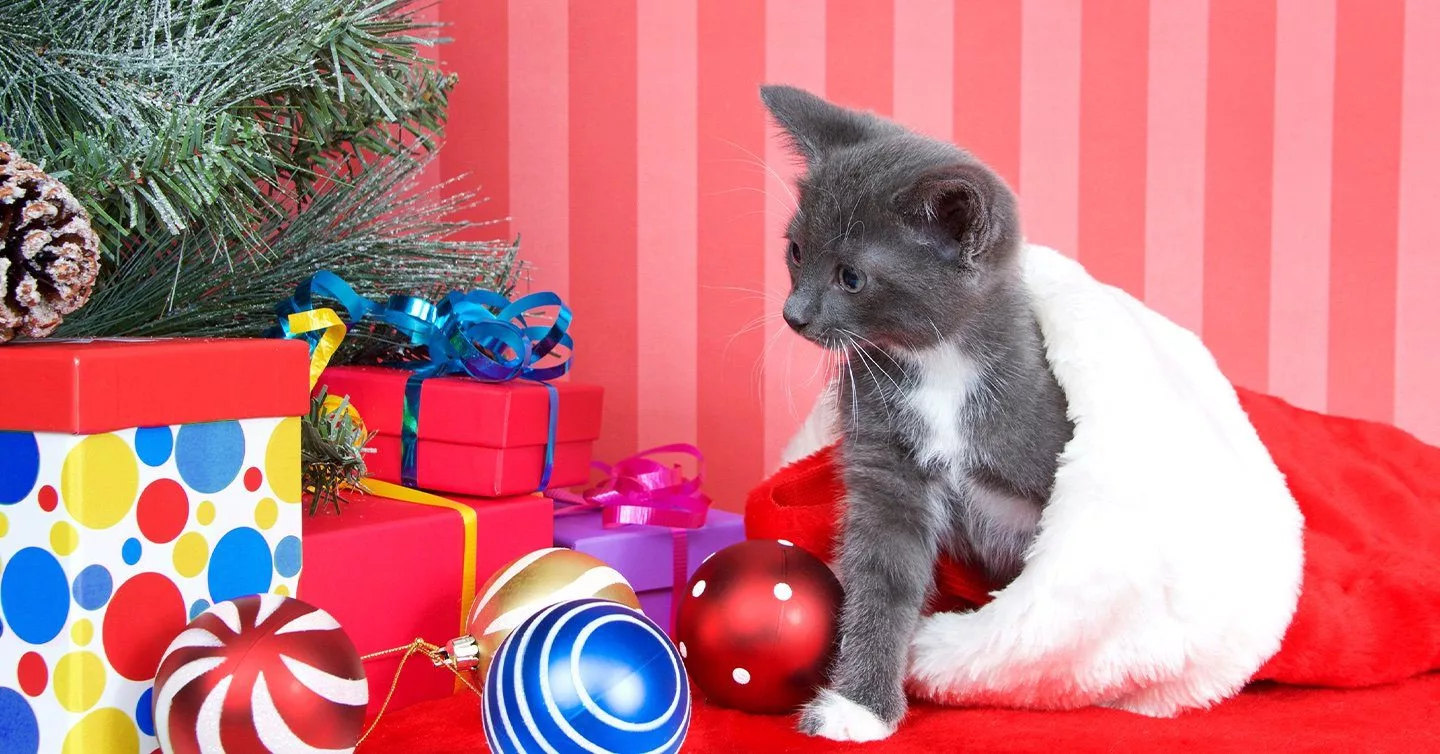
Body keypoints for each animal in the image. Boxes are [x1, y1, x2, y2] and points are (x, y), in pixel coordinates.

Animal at [760, 85, 1077, 736]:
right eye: (795, 251)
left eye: (852, 278)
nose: (793, 314)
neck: (941, 369)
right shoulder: (885, 457)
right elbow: (883, 572)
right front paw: (859, 705)